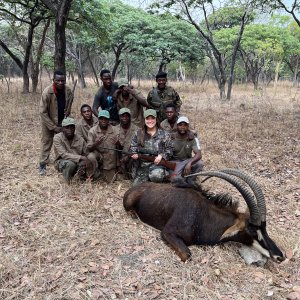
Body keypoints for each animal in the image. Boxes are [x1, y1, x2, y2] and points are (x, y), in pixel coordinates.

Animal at [123, 169, 284, 262]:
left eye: (265, 229)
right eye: (252, 231)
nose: (280, 256)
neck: (203, 216)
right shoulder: (167, 233)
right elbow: (187, 255)